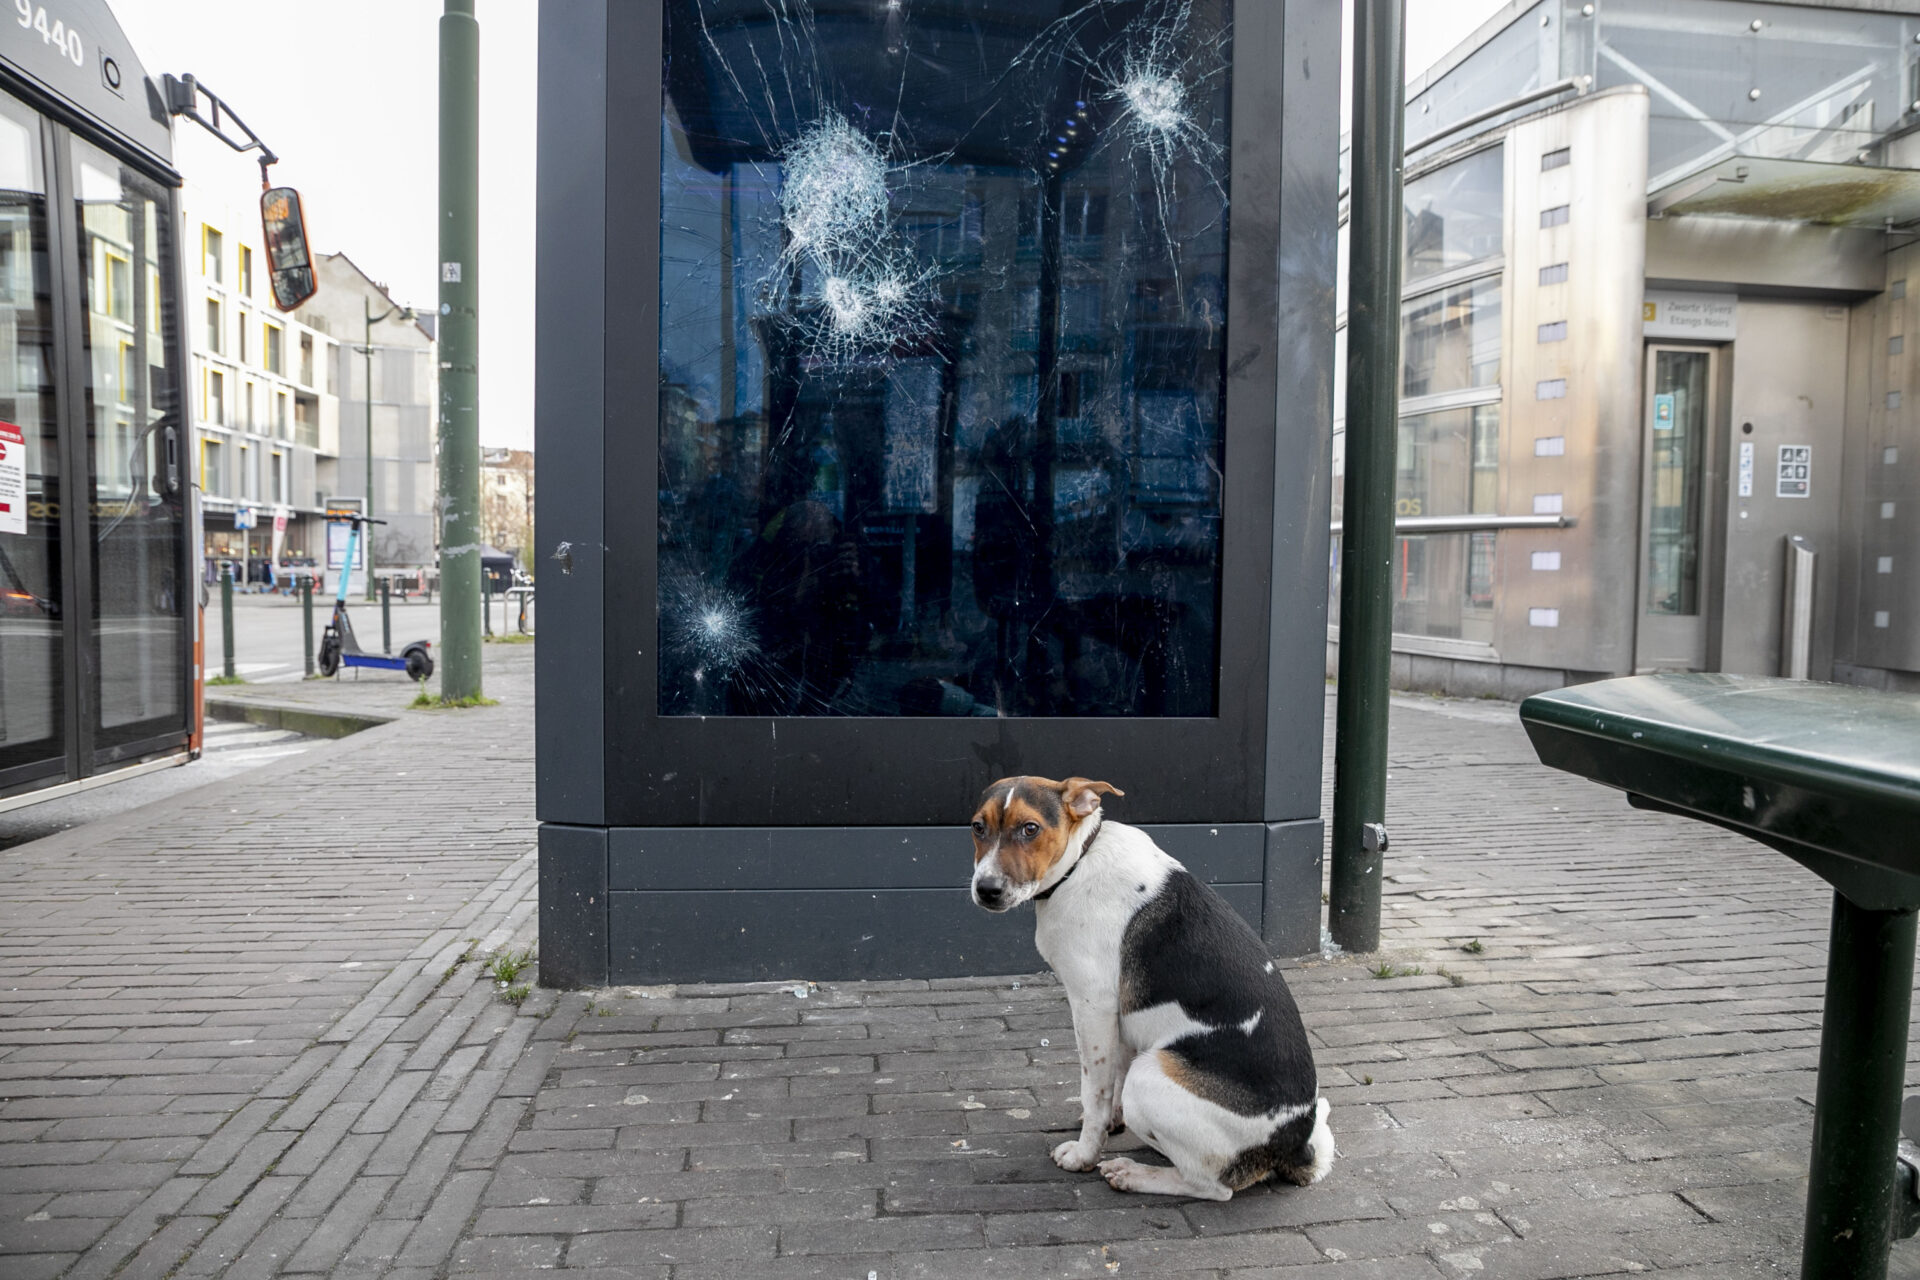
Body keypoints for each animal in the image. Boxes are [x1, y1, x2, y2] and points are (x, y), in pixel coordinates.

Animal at [967, 775, 1328, 1205]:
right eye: (977, 827)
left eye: (1030, 828)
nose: (986, 889)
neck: (1080, 862)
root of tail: (1293, 1145)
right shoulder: (1118, 1020)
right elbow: (1111, 1083)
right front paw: (1111, 1125)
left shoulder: (1092, 1007)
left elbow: (1095, 1091)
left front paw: (1085, 1153)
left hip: (1150, 1075)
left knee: (1212, 1186)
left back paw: (1134, 1173)